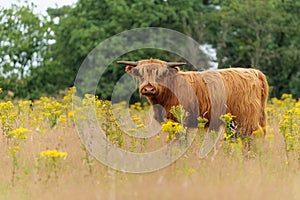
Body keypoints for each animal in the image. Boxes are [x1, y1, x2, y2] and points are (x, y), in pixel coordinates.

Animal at [116, 58, 268, 136]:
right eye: (141, 74)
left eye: (161, 74)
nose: (148, 88)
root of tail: (254, 72)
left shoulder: (178, 120)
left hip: (246, 119)